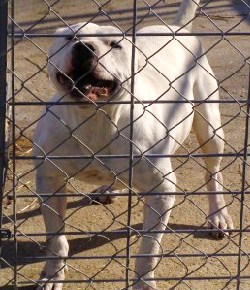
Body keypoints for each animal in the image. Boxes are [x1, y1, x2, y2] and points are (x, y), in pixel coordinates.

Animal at [33, 1, 234, 288]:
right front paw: (53, 274)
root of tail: (175, 28)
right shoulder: (49, 182)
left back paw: (218, 214)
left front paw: (143, 281)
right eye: (70, 37)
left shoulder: (162, 191)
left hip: (210, 127)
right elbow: (56, 240)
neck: (94, 120)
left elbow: (149, 249)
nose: (84, 48)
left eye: (114, 45)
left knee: (213, 172)